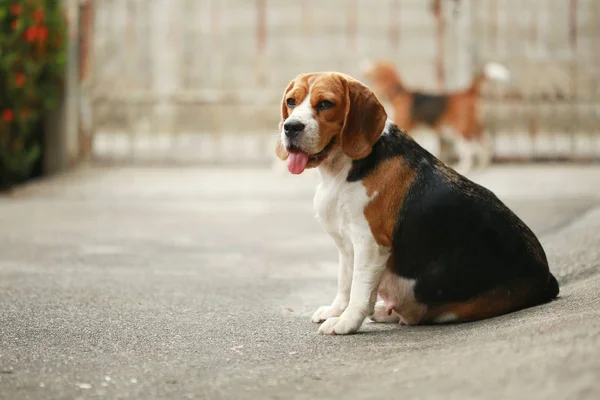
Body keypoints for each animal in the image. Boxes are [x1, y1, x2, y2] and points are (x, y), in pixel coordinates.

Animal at [360, 60, 510, 173]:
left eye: (376, 66)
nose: (365, 65)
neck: (399, 92)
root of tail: (468, 91)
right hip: (474, 126)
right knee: (486, 143)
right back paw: (484, 164)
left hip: (460, 130)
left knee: (469, 150)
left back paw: (465, 167)